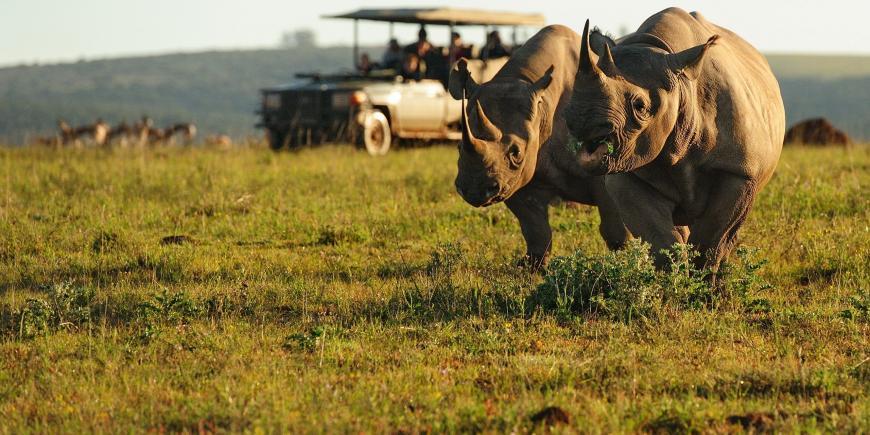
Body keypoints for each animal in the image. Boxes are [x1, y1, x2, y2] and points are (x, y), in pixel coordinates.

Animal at [448, 25, 630, 267]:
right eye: (459, 147)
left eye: (516, 152)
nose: (474, 190)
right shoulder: (516, 177)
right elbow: (535, 229)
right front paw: (532, 266)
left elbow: (614, 226)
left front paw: (623, 260)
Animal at [564, 8, 785, 274]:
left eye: (640, 106)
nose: (582, 120)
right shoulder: (627, 173)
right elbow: (662, 242)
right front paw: (676, 280)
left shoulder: (739, 170)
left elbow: (711, 242)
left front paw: (700, 282)